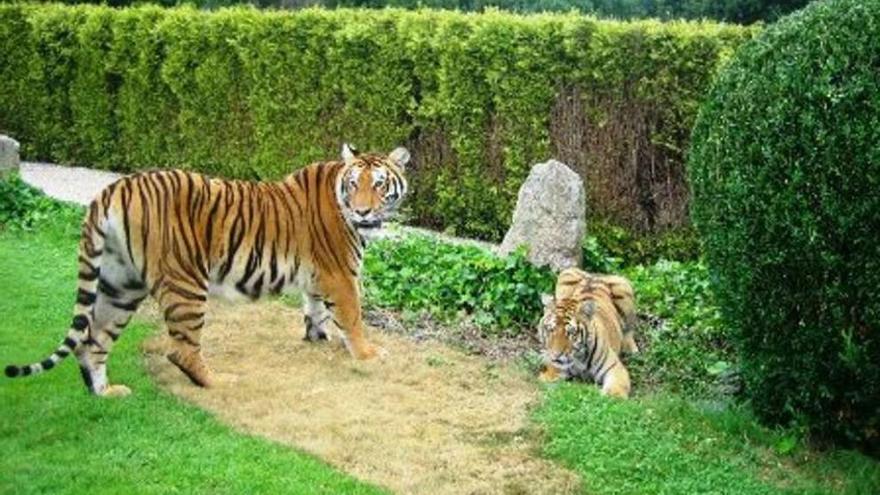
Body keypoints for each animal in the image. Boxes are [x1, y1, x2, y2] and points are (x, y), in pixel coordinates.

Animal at [4, 144, 410, 400]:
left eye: (378, 184)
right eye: (354, 184)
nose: (361, 211)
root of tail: (115, 188)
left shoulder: (316, 277)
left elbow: (316, 311)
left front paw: (318, 339)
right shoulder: (340, 275)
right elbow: (352, 317)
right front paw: (368, 355)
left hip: (120, 283)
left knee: (92, 340)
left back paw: (106, 393)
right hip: (186, 283)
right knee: (181, 351)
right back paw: (220, 382)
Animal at [536, 268, 640, 400]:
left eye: (570, 332)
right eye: (550, 329)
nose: (556, 355)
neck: (579, 357)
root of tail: (596, 274)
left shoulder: (615, 368)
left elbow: (616, 390)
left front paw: (610, 396)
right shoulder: (554, 370)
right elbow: (547, 378)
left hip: (624, 285)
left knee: (629, 329)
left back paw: (631, 349)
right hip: (566, 273)